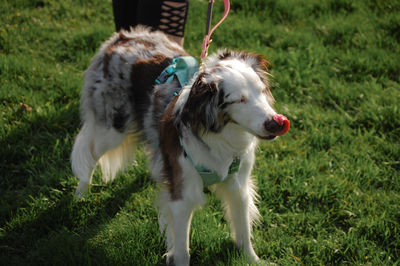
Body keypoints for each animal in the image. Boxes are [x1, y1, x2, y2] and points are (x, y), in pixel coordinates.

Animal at [71, 26, 288, 264]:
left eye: (261, 90)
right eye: (238, 100)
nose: (276, 123)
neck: (221, 139)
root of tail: (123, 37)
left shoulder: (237, 185)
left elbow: (243, 231)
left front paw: (252, 260)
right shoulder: (182, 195)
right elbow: (183, 248)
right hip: (111, 130)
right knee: (89, 155)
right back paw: (81, 194)